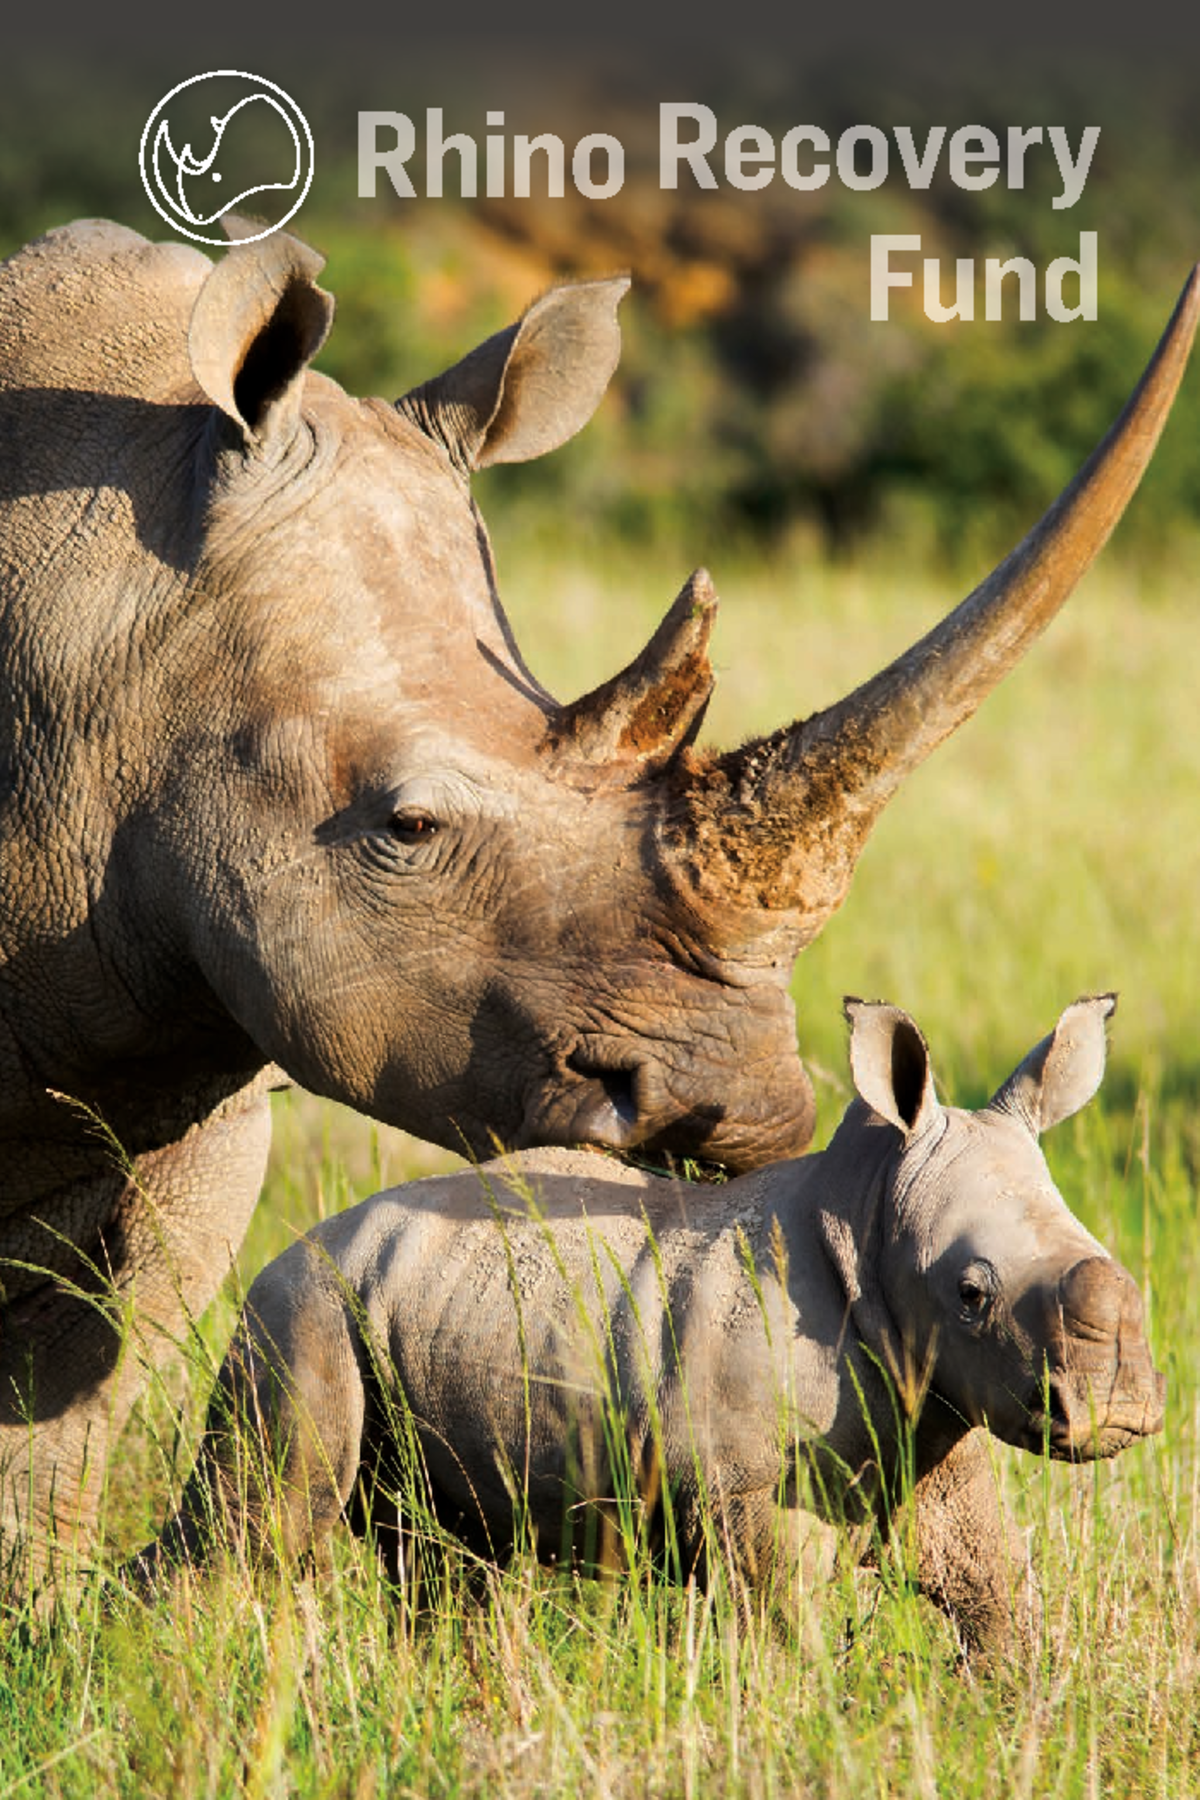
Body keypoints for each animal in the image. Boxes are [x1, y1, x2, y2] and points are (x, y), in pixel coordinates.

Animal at [133, 993, 1161, 1658]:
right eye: (972, 1293)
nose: (1120, 1402)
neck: (870, 1215)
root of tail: (294, 1247)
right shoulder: (760, 1491)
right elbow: (786, 1633)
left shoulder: (937, 1414)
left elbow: (997, 1596)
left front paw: (1015, 1721)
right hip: (298, 1309)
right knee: (258, 1521)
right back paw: (160, 1671)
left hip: (395, 1298)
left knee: (442, 1558)